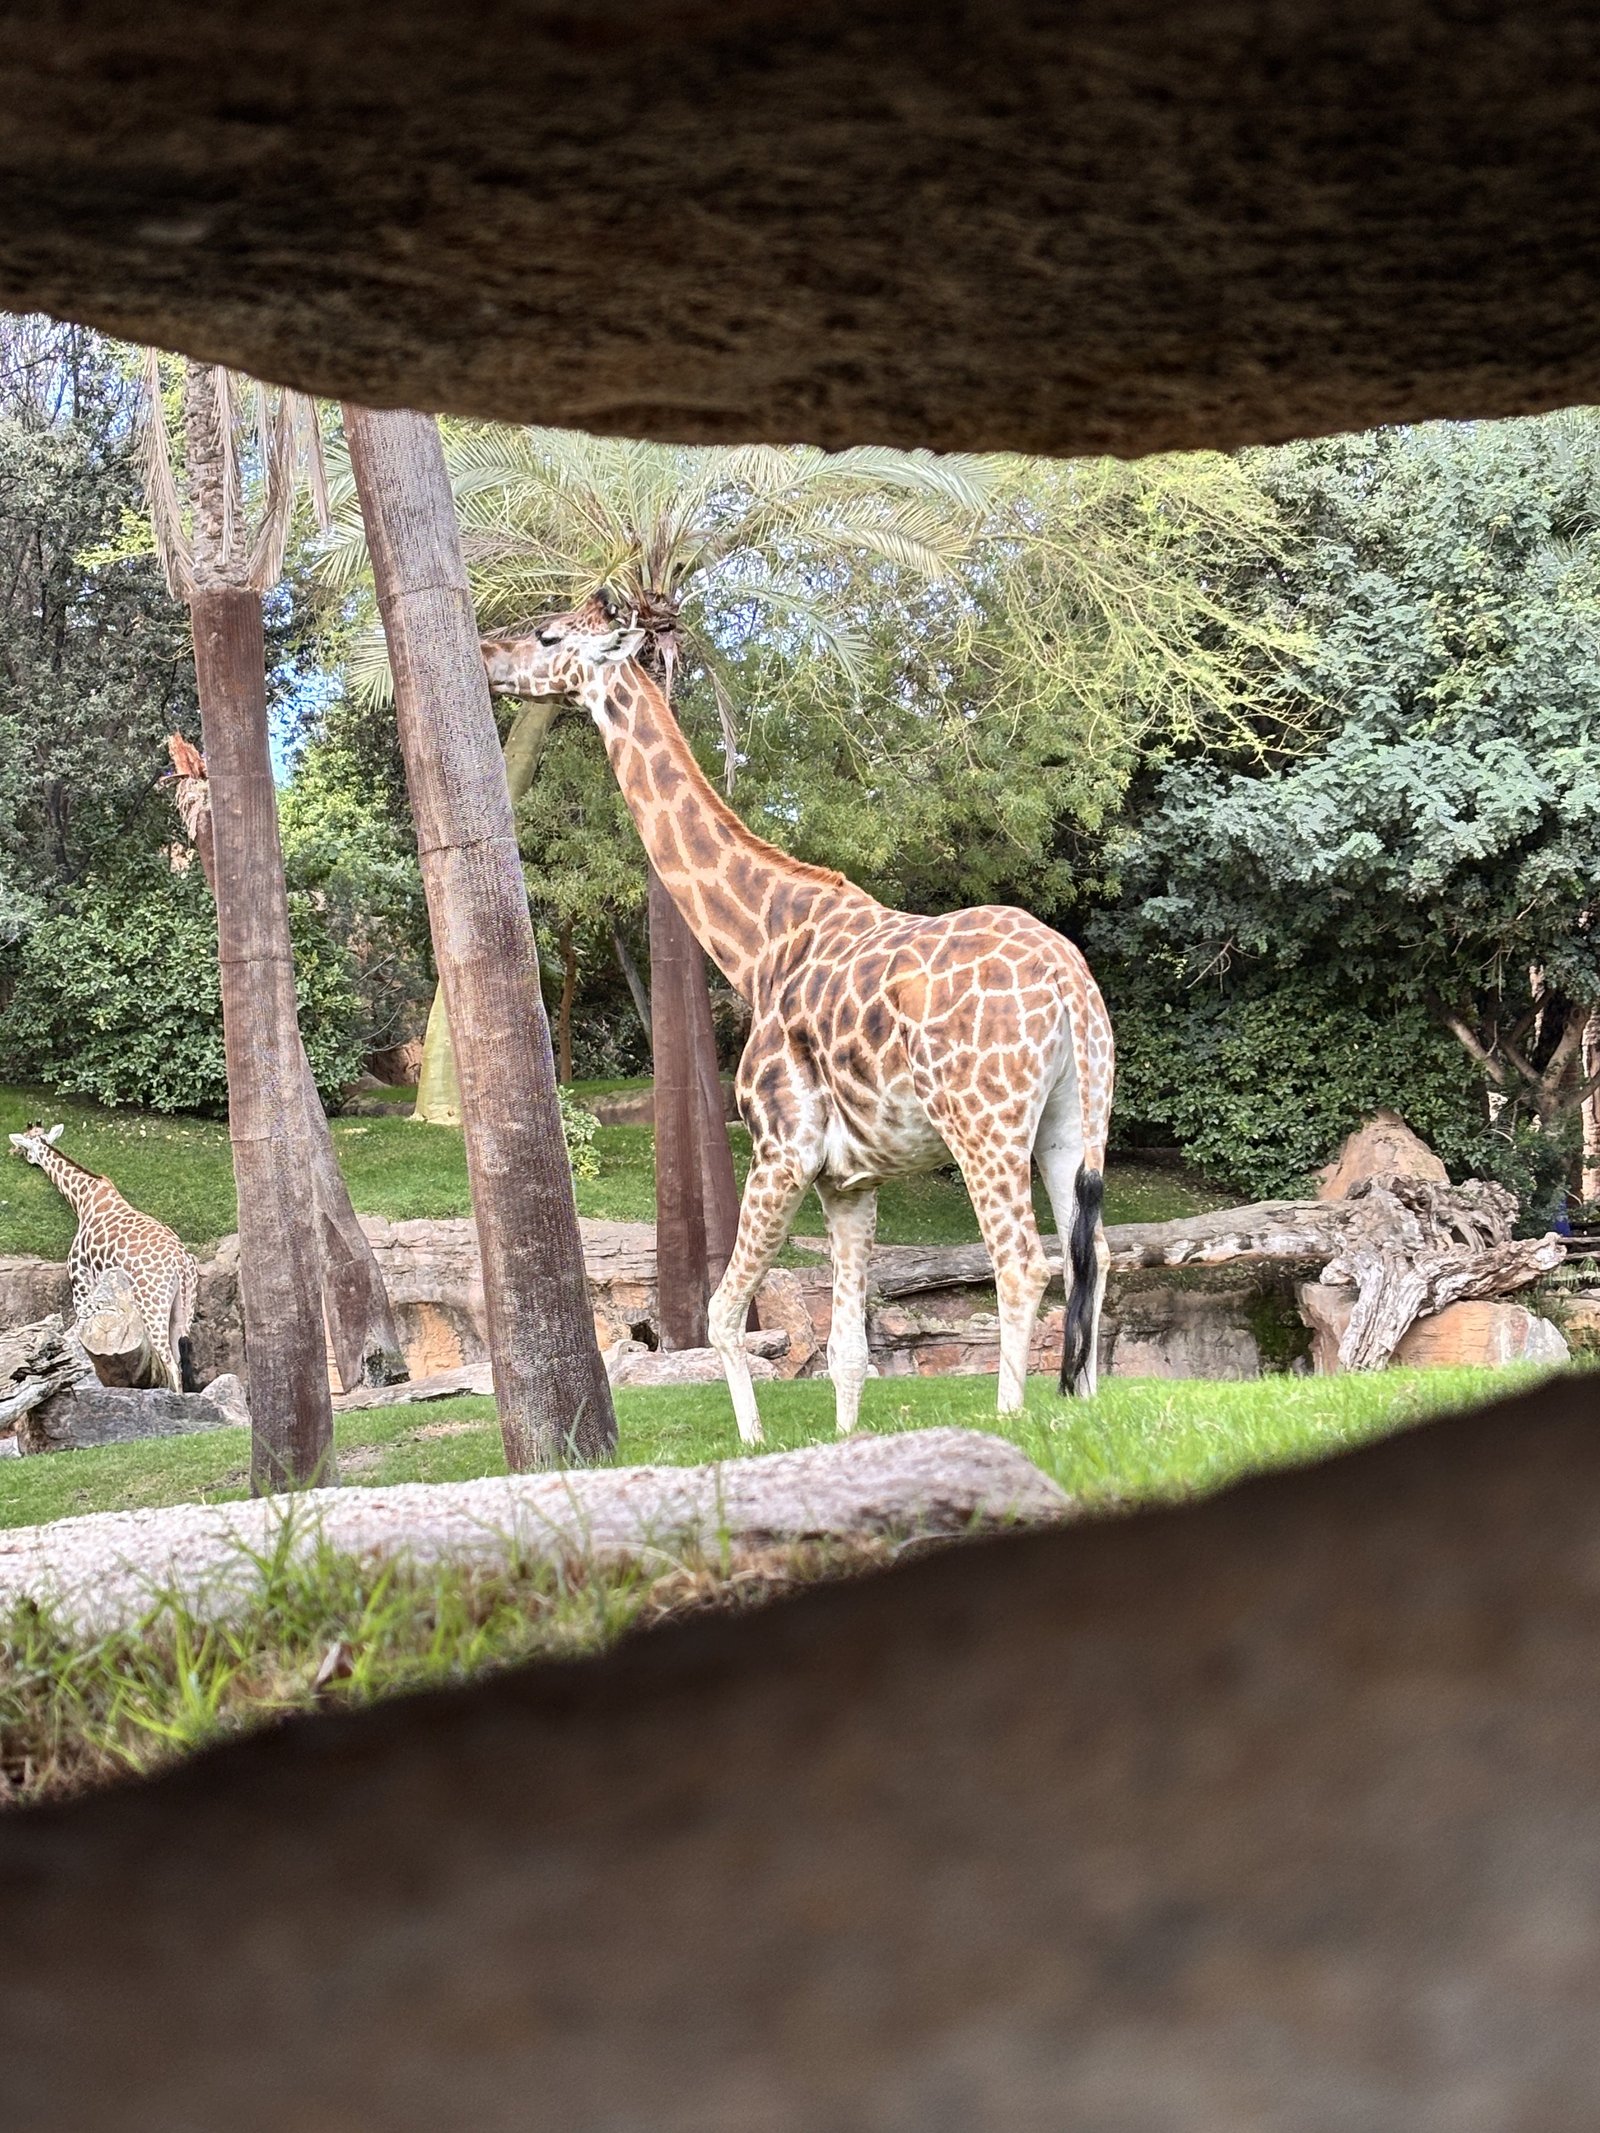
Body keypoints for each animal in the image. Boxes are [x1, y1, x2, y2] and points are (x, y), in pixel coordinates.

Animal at [8, 1124, 199, 1392]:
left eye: (24, 1145)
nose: (13, 1152)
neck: (82, 1199)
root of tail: (181, 1264)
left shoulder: (80, 1279)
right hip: (183, 1309)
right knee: (180, 1362)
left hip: (152, 1306)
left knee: (168, 1362)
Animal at [480, 597, 1115, 1447]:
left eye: (547, 634)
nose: (487, 656)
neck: (757, 946)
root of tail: (1070, 982)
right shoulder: (851, 1177)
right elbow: (848, 1348)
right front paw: (844, 1445)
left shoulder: (782, 1147)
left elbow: (723, 1313)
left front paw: (753, 1444)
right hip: (1073, 1119)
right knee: (1092, 1253)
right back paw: (1083, 1406)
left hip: (984, 1122)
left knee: (1021, 1261)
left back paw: (1011, 1420)